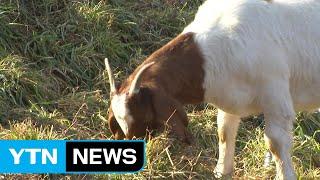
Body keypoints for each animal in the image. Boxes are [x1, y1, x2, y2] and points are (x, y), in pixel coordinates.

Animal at [106, 0, 320, 179]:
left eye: (140, 115)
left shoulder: (275, 98)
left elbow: (275, 142)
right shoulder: (230, 100)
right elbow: (224, 132)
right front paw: (222, 172)